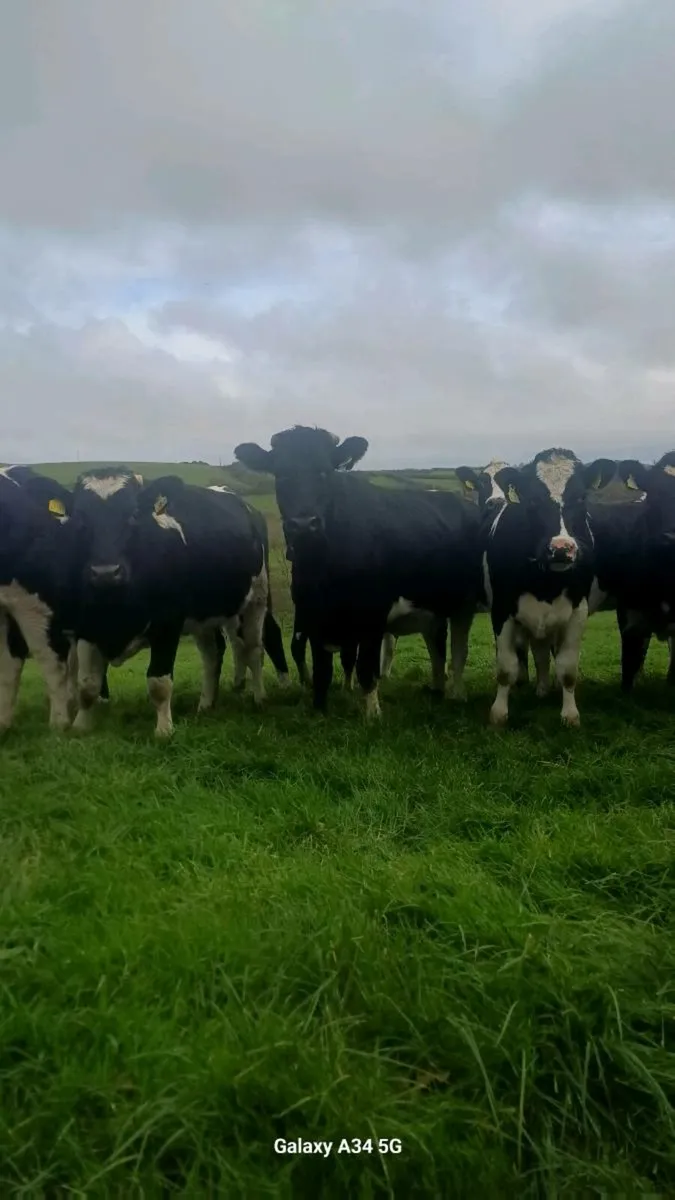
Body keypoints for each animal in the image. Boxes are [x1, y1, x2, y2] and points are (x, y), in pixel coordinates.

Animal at [69, 469, 288, 736]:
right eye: (79, 517)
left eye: (133, 515)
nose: (105, 572)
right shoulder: (84, 629)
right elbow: (87, 685)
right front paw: (80, 726)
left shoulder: (167, 624)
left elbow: (159, 682)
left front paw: (164, 730)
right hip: (204, 615)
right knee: (213, 653)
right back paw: (205, 704)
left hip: (256, 600)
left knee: (254, 648)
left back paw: (259, 698)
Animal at [234, 426, 484, 718]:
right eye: (281, 474)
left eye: (325, 471)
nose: (304, 524)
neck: (323, 569)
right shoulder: (312, 615)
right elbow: (322, 670)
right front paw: (319, 710)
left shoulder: (373, 615)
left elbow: (365, 666)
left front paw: (373, 714)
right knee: (437, 645)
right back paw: (437, 689)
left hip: (462, 604)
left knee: (458, 649)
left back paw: (457, 694)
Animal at [481, 448, 615, 726]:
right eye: (532, 501)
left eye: (581, 497)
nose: (562, 548)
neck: (546, 584)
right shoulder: (501, 609)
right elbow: (505, 668)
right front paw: (498, 714)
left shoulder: (578, 611)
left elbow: (568, 668)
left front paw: (570, 714)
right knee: (538, 651)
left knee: (543, 651)